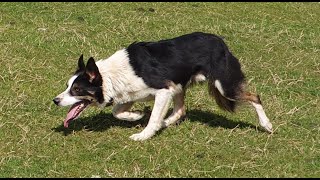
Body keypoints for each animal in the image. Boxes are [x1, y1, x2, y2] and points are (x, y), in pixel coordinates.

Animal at [52, 31, 272, 141]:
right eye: (67, 86)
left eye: (77, 90)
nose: (55, 100)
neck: (110, 76)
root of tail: (221, 42)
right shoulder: (132, 94)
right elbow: (117, 111)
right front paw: (136, 116)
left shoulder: (164, 90)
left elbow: (151, 120)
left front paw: (143, 135)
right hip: (181, 86)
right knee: (181, 110)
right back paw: (165, 122)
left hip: (223, 85)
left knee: (255, 96)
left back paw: (266, 124)